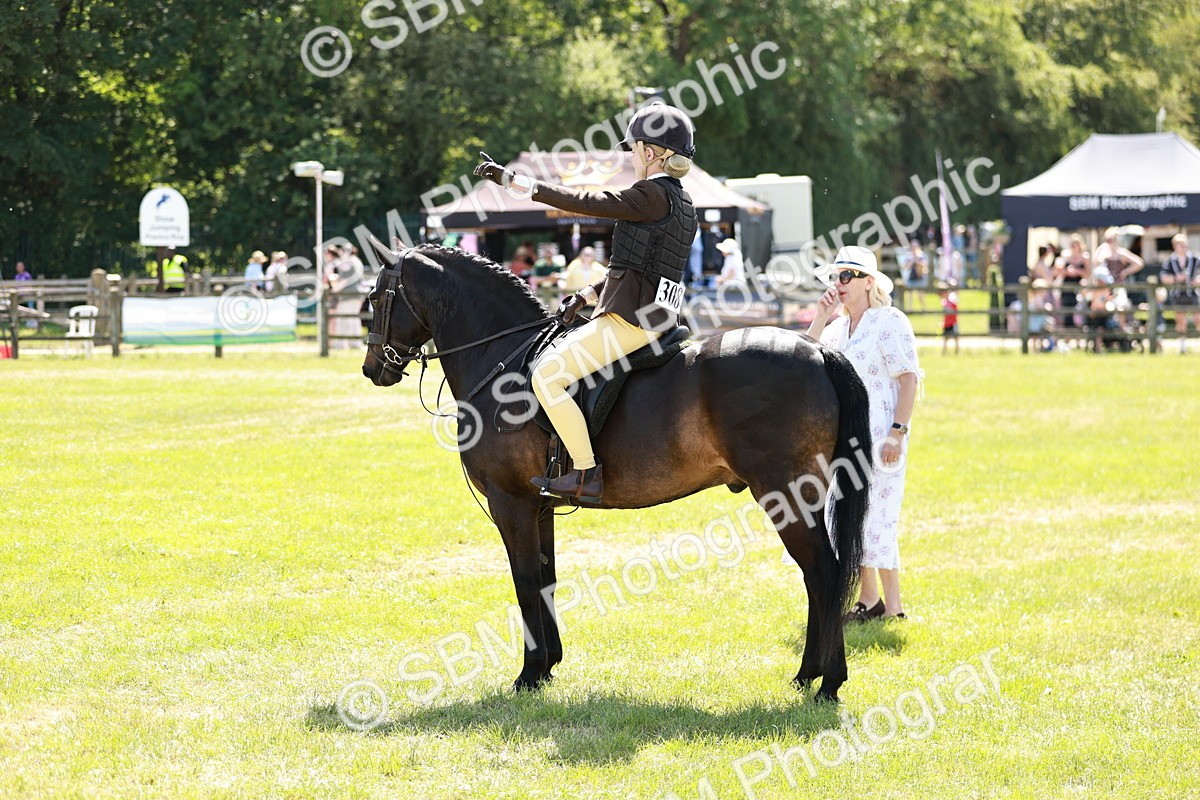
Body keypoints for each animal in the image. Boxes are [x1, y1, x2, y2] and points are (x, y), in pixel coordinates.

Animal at [361, 240, 872, 701]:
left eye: (376, 299)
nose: (372, 369)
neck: (502, 360)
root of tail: (815, 350)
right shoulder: (541, 506)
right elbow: (546, 579)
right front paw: (548, 668)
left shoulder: (512, 504)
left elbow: (525, 583)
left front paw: (527, 675)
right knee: (816, 577)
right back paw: (808, 675)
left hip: (784, 494)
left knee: (824, 573)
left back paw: (829, 682)